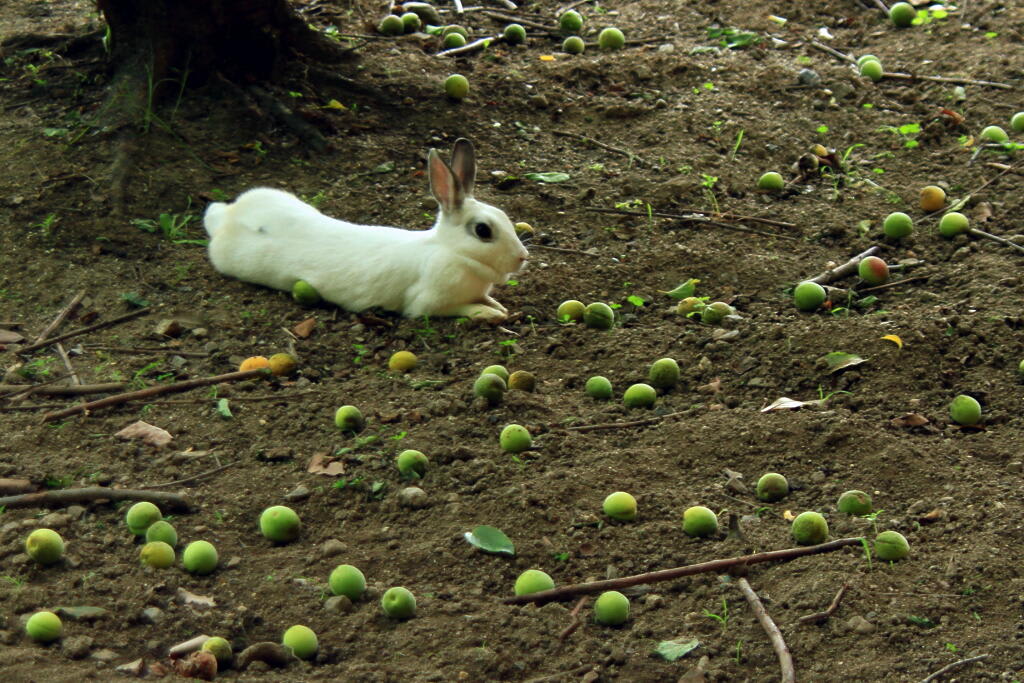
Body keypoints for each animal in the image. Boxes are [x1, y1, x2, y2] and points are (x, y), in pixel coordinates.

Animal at [204, 139, 532, 323]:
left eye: (505, 217)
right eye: (483, 231)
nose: (522, 257)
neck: (451, 252)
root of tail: (227, 216)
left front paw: (496, 305)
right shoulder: (427, 303)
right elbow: (460, 308)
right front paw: (491, 314)